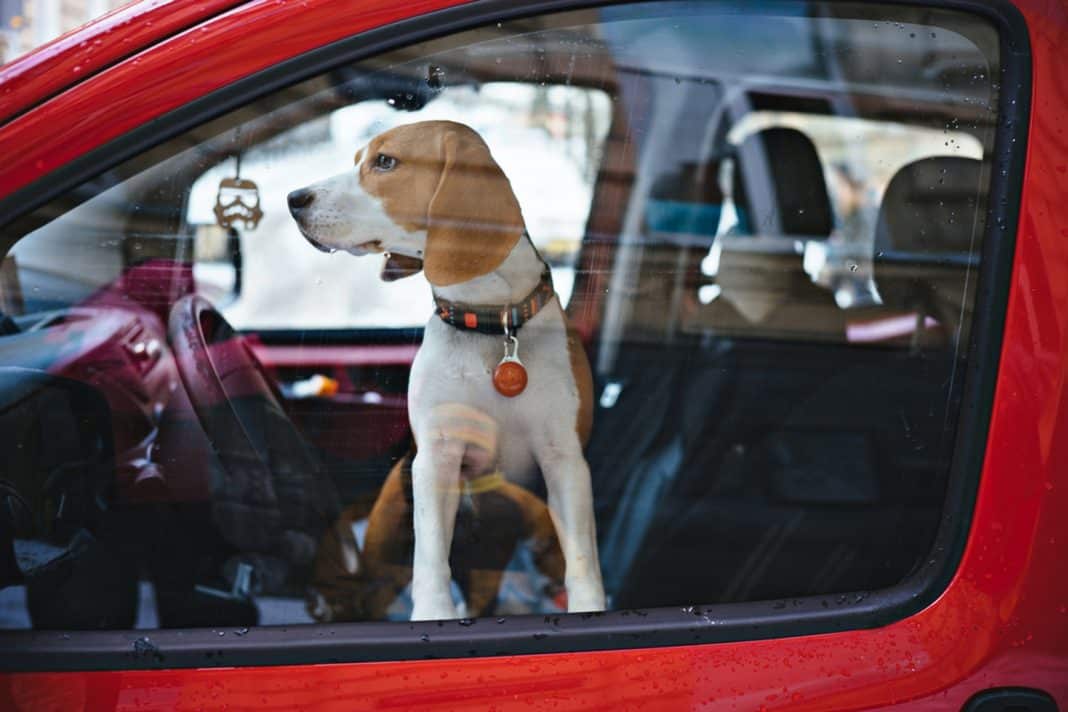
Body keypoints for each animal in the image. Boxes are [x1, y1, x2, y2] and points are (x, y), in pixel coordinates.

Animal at [288, 121, 606, 619]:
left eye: (385, 161)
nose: (294, 199)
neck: (492, 325)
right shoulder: (437, 456)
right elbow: (432, 555)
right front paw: (434, 615)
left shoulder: (565, 458)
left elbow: (582, 558)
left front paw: (589, 609)